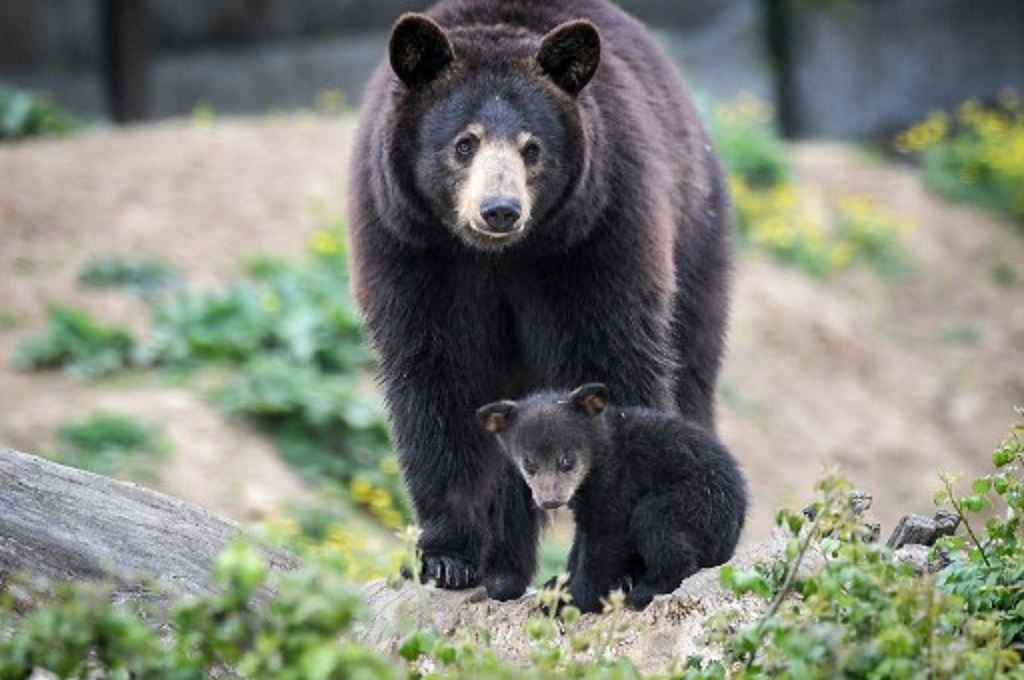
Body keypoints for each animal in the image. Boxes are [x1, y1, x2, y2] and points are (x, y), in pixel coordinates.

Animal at [346, 0, 732, 602]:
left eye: (532, 147)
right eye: (465, 142)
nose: (499, 210)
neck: (499, 256)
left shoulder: (594, 238)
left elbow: (611, 361)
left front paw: (614, 563)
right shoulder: (411, 248)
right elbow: (437, 381)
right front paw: (447, 557)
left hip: (696, 241)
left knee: (691, 369)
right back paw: (503, 569)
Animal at [476, 383, 747, 613]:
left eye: (566, 459)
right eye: (529, 463)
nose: (550, 500)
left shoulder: (616, 483)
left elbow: (606, 542)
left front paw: (570, 600)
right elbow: (581, 541)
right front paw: (555, 584)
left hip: (700, 504)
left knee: (656, 522)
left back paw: (645, 591)